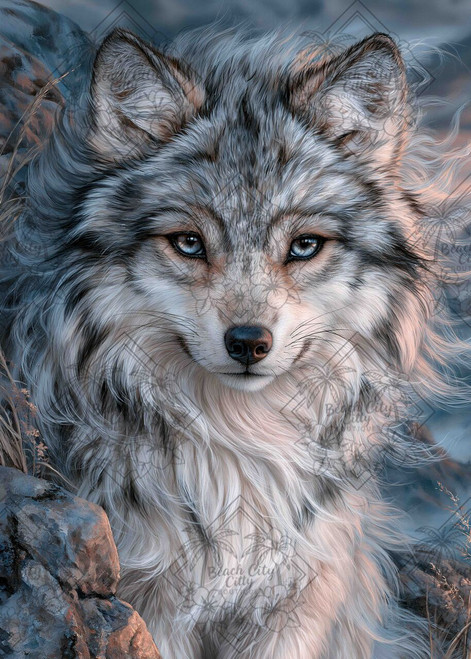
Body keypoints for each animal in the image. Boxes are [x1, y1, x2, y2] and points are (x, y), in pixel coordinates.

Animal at [1, 23, 466, 658]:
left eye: (304, 246)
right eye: (189, 242)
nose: (249, 342)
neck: (240, 448)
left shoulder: (301, 597)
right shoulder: (154, 602)